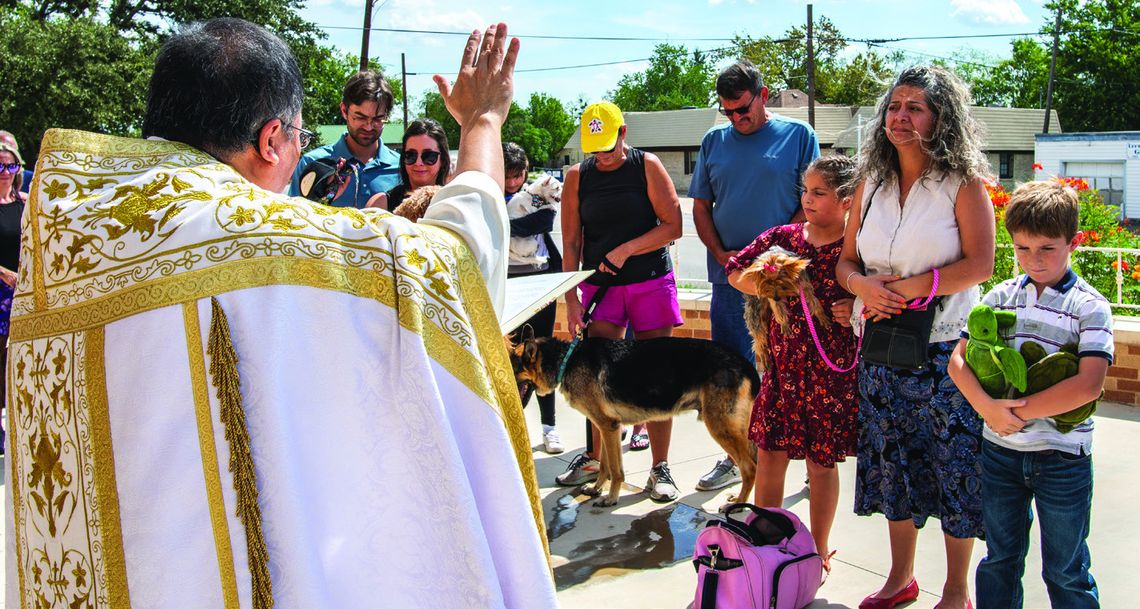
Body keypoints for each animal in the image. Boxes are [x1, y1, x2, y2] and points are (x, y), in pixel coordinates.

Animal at [508, 326, 756, 508]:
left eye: (513, 370)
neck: (567, 360)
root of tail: (745, 363)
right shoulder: (606, 427)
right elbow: (605, 465)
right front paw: (596, 489)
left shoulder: (608, 427)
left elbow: (616, 469)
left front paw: (610, 498)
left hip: (720, 426)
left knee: (750, 467)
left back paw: (738, 504)